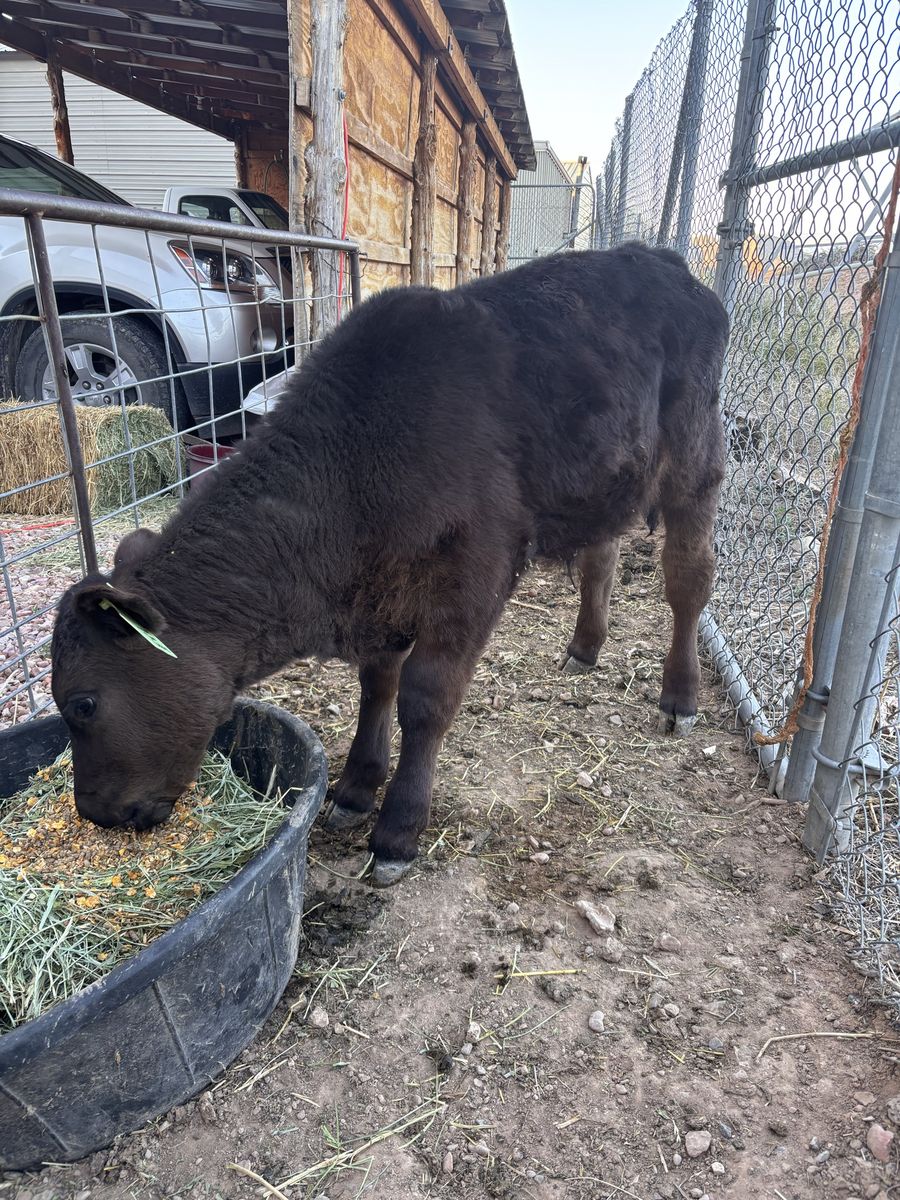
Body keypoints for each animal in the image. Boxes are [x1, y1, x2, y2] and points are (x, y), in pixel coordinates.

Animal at [51, 244, 728, 886]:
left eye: (82, 703)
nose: (94, 812)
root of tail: (657, 259)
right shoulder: (382, 593)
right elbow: (377, 685)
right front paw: (355, 788)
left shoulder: (473, 577)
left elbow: (425, 700)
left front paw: (398, 831)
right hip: (604, 478)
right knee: (601, 554)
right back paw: (585, 646)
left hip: (695, 456)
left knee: (689, 577)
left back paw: (680, 694)